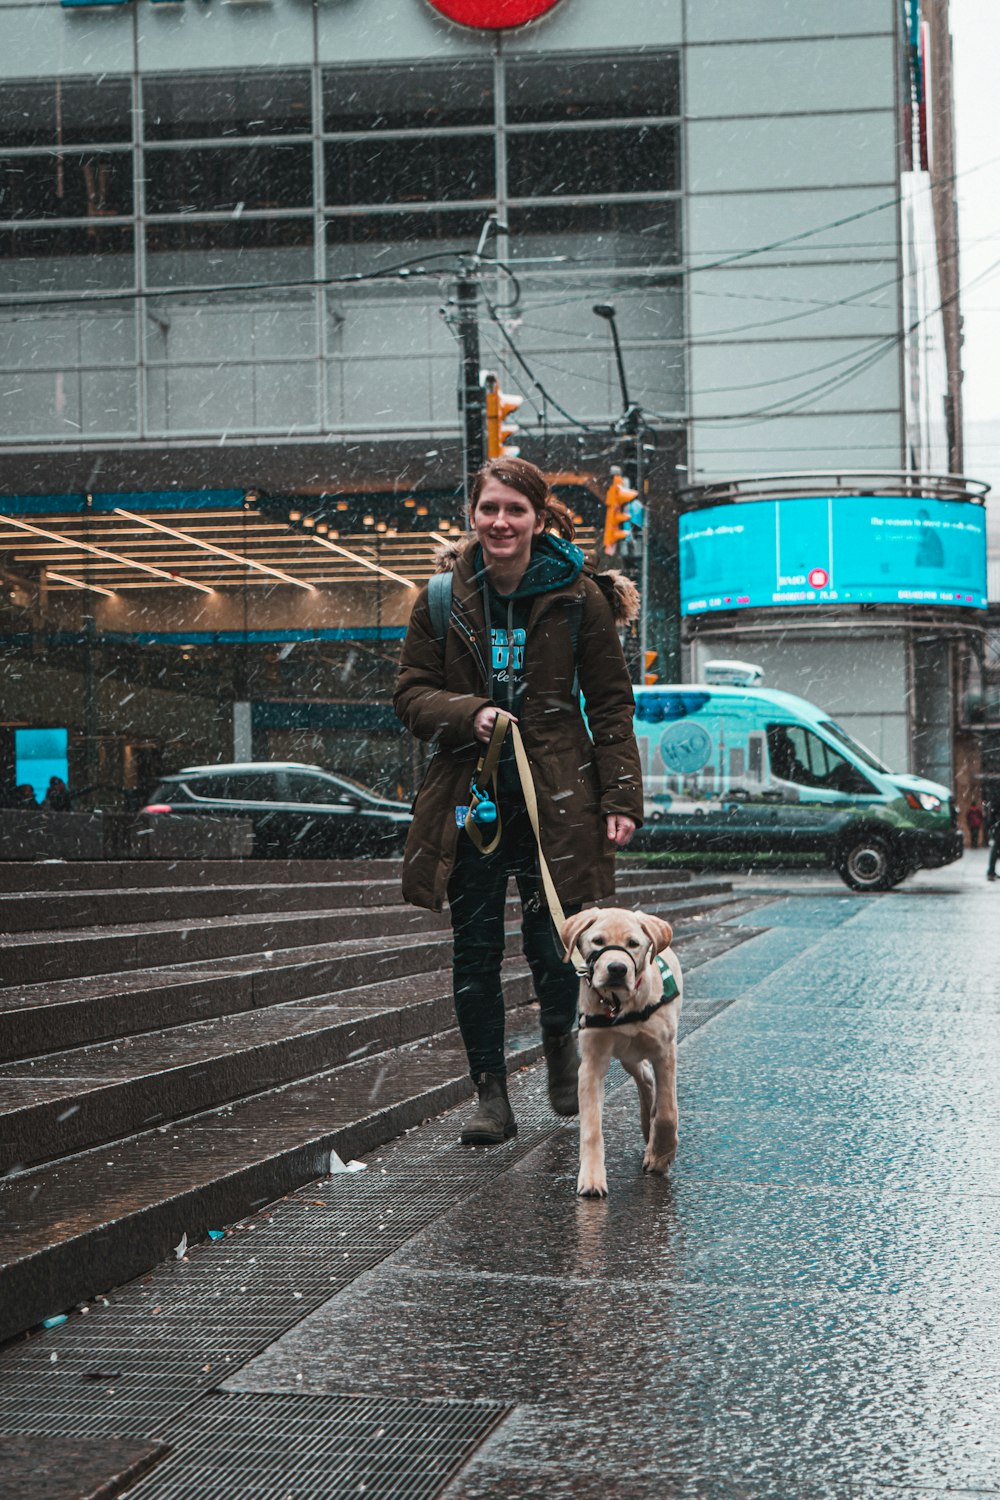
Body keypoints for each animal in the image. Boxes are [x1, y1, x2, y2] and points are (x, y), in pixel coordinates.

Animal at [560, 906, 683, 1200]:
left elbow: (667, 1111)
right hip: (627, 1054)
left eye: (633, 944)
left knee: (653, 1086)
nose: (617, 968)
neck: (621, 1004)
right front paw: (592, 1177)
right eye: (598, 941)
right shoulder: (592, 1062)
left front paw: (660, 1156)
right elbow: (591, 1127)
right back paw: (646, 1121)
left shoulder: (665, 1051)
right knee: (645, 1078)